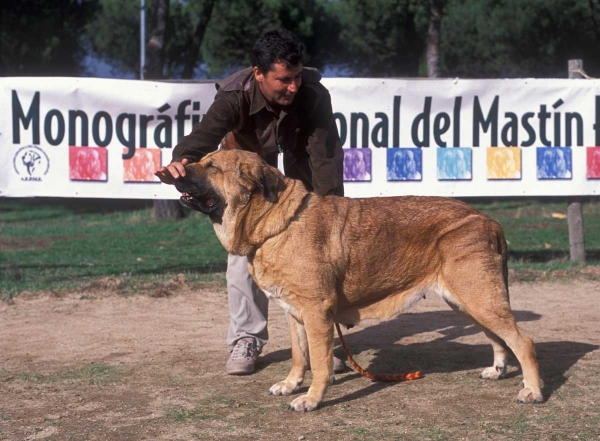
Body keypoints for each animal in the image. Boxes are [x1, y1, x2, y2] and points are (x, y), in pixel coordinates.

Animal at [173, 150, 544, 410]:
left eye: (212, 167)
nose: (178, 168)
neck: (275, 223)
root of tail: (490, 221)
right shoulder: (294, 313)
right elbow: (299, 356)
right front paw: (291, 384)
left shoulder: (316, 312)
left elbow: (320, 363)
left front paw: (311, 399)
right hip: (467, 302)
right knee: (498, 338)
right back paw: (497, 371)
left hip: (479, 298)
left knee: (522, 341)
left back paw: (532, 391)